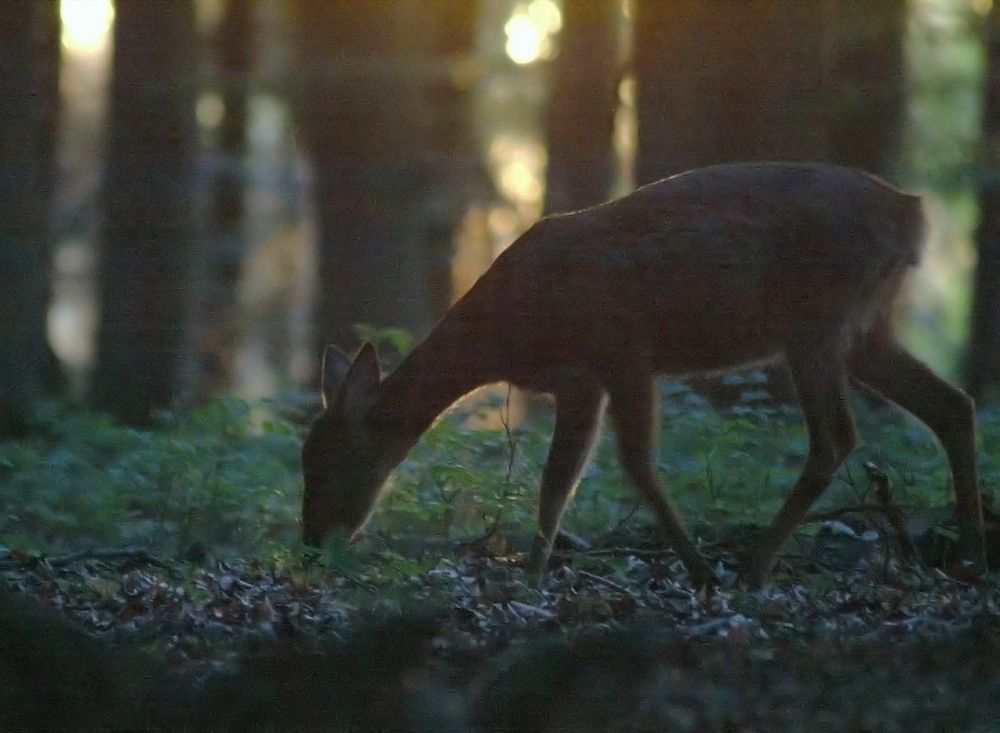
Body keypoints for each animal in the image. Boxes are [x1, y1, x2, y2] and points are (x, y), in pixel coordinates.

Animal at [296, 163, 984, 588]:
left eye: (326, 462)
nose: (309, 543)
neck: (506, 332)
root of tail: (913, 211)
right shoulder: (589, 377)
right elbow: (566, 481)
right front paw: (536, 573)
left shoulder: (615, 355)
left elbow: (613, 471)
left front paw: (692, 572)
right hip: (861, 327)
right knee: (953, 403)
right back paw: (969, 555)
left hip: (815, 321)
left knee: (836, 436)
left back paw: (753, 568)